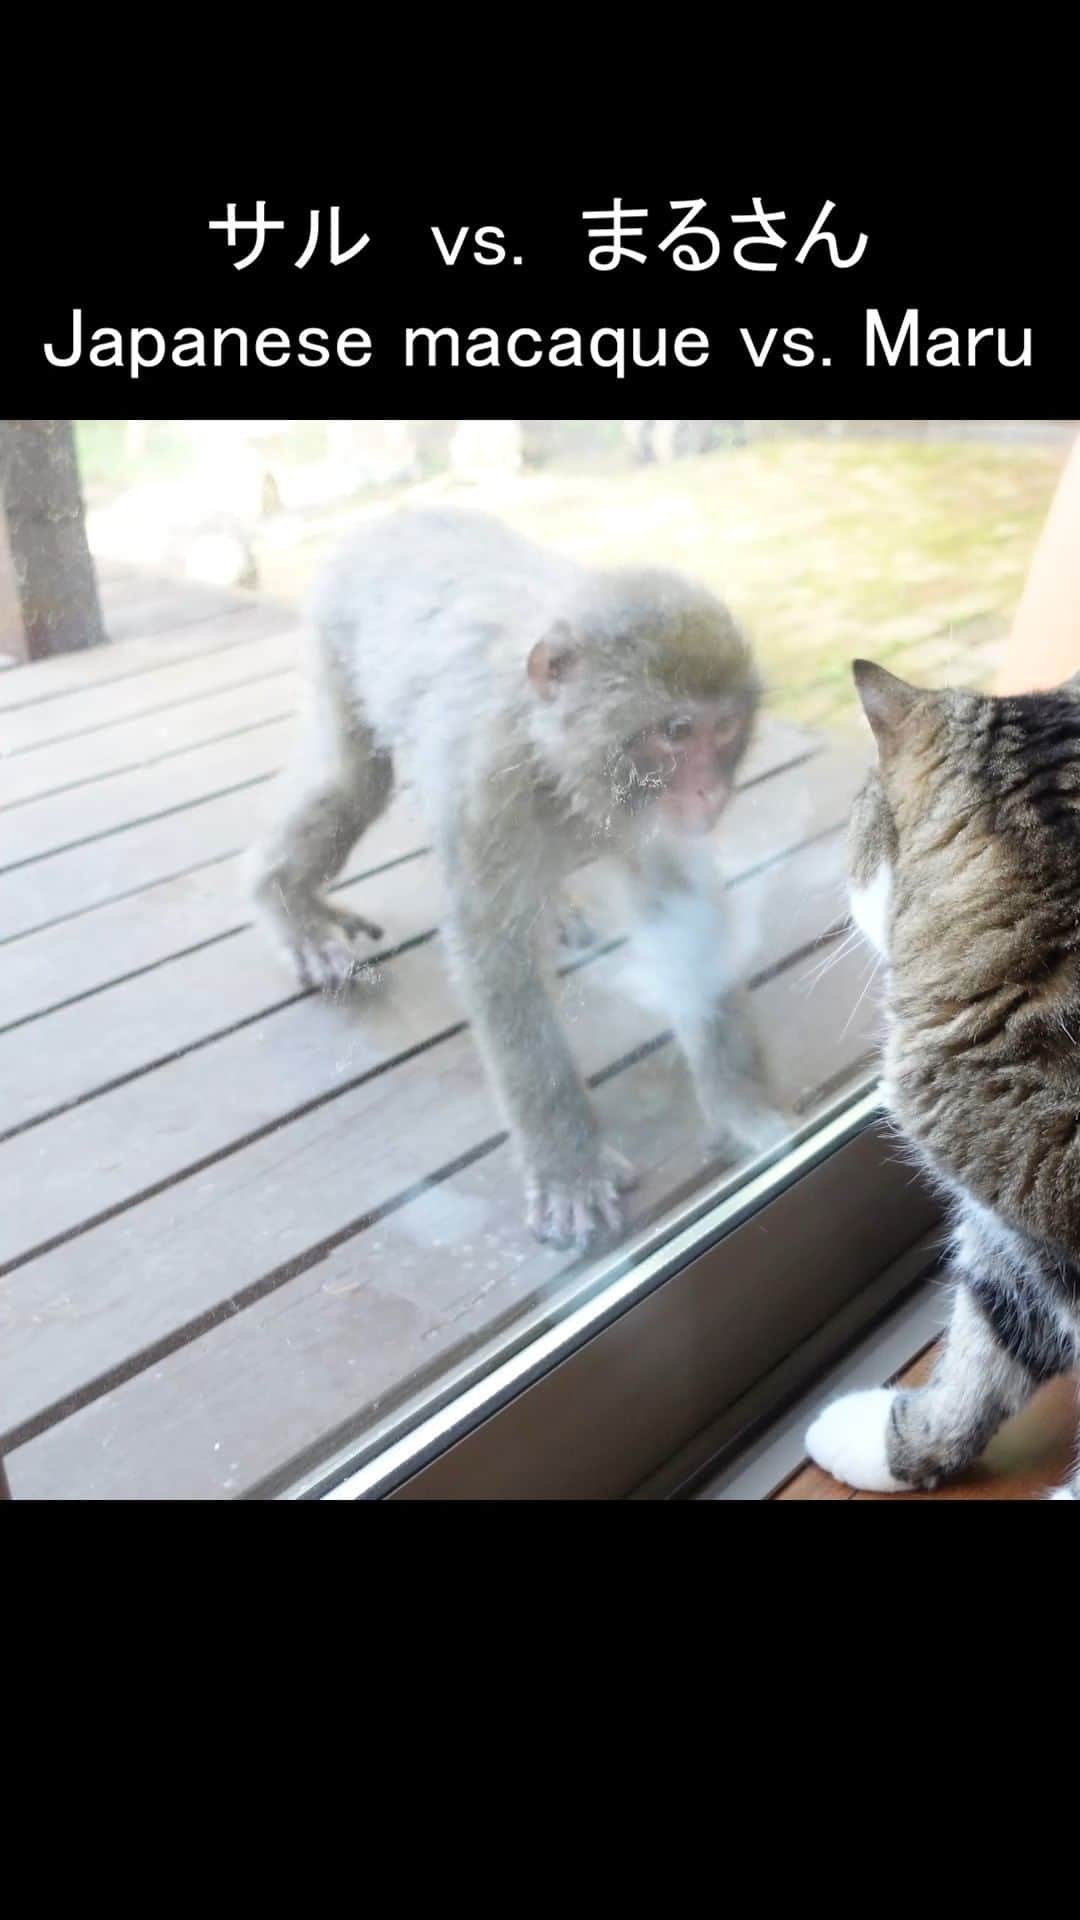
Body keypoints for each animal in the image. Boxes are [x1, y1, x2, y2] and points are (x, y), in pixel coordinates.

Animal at [252, 507, 788, 1251]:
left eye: (726, 728)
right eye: (678, 731)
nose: (710, 792)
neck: (555, 755)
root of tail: (393, 518)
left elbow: (682, 915)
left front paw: (741, 1104)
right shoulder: (488, 782)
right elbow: (496, 959)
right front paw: (568, 1167)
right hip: (335, 639)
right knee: (355, 779)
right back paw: (291, 910)